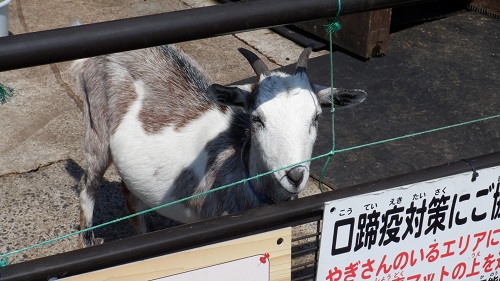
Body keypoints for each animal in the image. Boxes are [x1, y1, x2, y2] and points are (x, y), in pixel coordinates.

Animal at [71, 44, 368, 246]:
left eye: (316, 116)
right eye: (257, 118)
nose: (294, 176)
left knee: (129, 193)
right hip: (96, 128)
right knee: (88, 184)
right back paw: (87, 239)